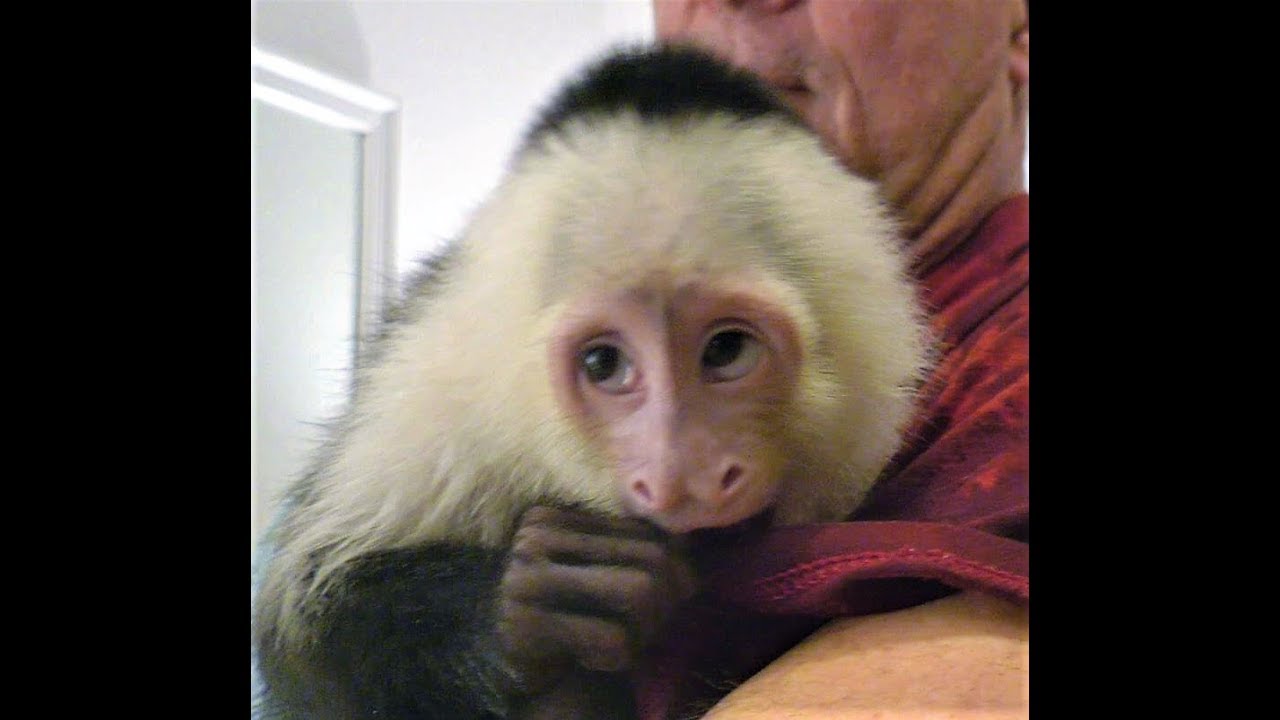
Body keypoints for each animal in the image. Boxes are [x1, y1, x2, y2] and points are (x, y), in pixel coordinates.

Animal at [252, 44, 932, 720]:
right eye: (604, 365)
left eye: (727, 350)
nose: (683, 477)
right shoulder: (433, 391)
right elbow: (298, 631)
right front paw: (520, 606)